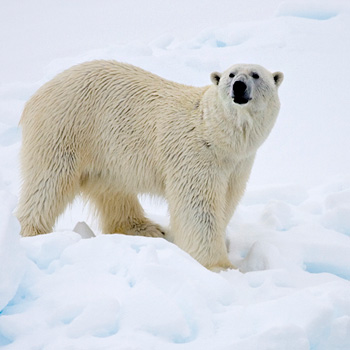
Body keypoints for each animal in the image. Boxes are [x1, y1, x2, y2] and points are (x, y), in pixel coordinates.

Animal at [17, 60, 284, 270]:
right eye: (230, 74)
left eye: (255, 74)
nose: (239, 86)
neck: (213, 133)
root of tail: (37, 94)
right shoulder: (195, 156)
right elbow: (199, 209)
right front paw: (218, 266)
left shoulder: (237, 165)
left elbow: (226, 202)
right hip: (65, 128)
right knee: (49, 182)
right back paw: (33, 233)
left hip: (106, 150)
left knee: (112, 189)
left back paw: (145, 228)